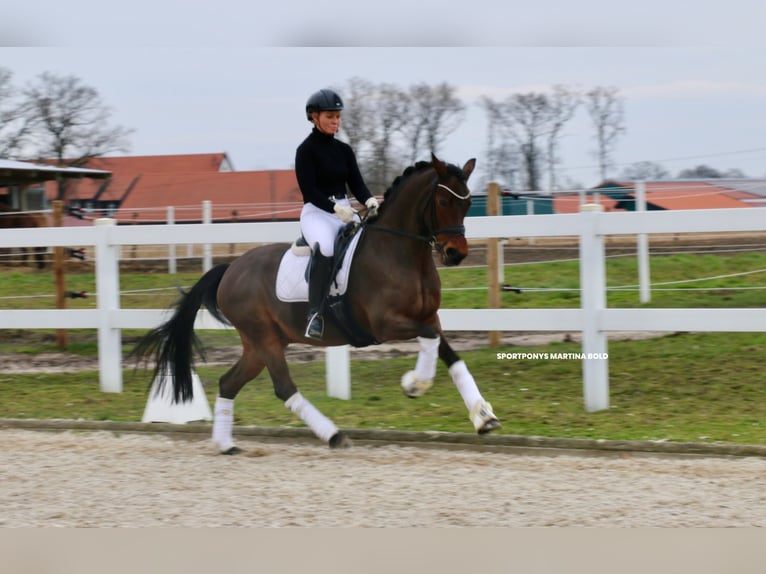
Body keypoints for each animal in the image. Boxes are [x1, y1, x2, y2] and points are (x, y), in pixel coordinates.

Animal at [134, 153, 500, 454]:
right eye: (442, 200)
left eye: (468, 203)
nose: (456, 254)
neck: (401, 251)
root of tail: (230, 269)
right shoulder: (385, 323)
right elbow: (430, 339)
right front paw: (415, 384)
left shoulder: (430, 317)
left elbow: (448, 352)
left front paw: (484, 416)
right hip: (264, 338)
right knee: (284, 387)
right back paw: (334, 435)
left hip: (259, 343)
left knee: (229, 382)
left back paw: (226, 445)